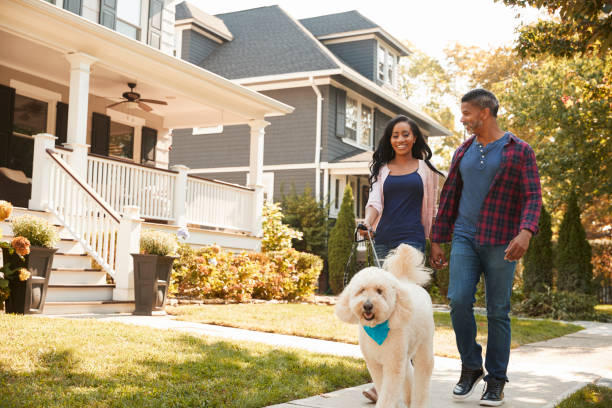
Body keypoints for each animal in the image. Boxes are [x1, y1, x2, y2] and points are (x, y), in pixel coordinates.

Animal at [334, 244, 436, 406]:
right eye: (361, 290)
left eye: (379, 291)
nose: (367, 305)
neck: (377, 327)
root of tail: (407, 281)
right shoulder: (375, 364)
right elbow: (382, 388)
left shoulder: (392, 365)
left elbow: (388, 394)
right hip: (404, 354)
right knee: (408, 372)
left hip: (424, 345)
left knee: (423, 372)